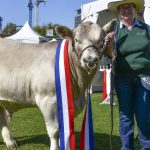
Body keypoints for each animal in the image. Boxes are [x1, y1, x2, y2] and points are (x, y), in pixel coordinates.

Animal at [0, 19, 116, 150]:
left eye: (101, 41)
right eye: (77, 40)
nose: (90, 60)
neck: (79, 90)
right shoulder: (48, 100)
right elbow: (55, 131)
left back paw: (10, 142)